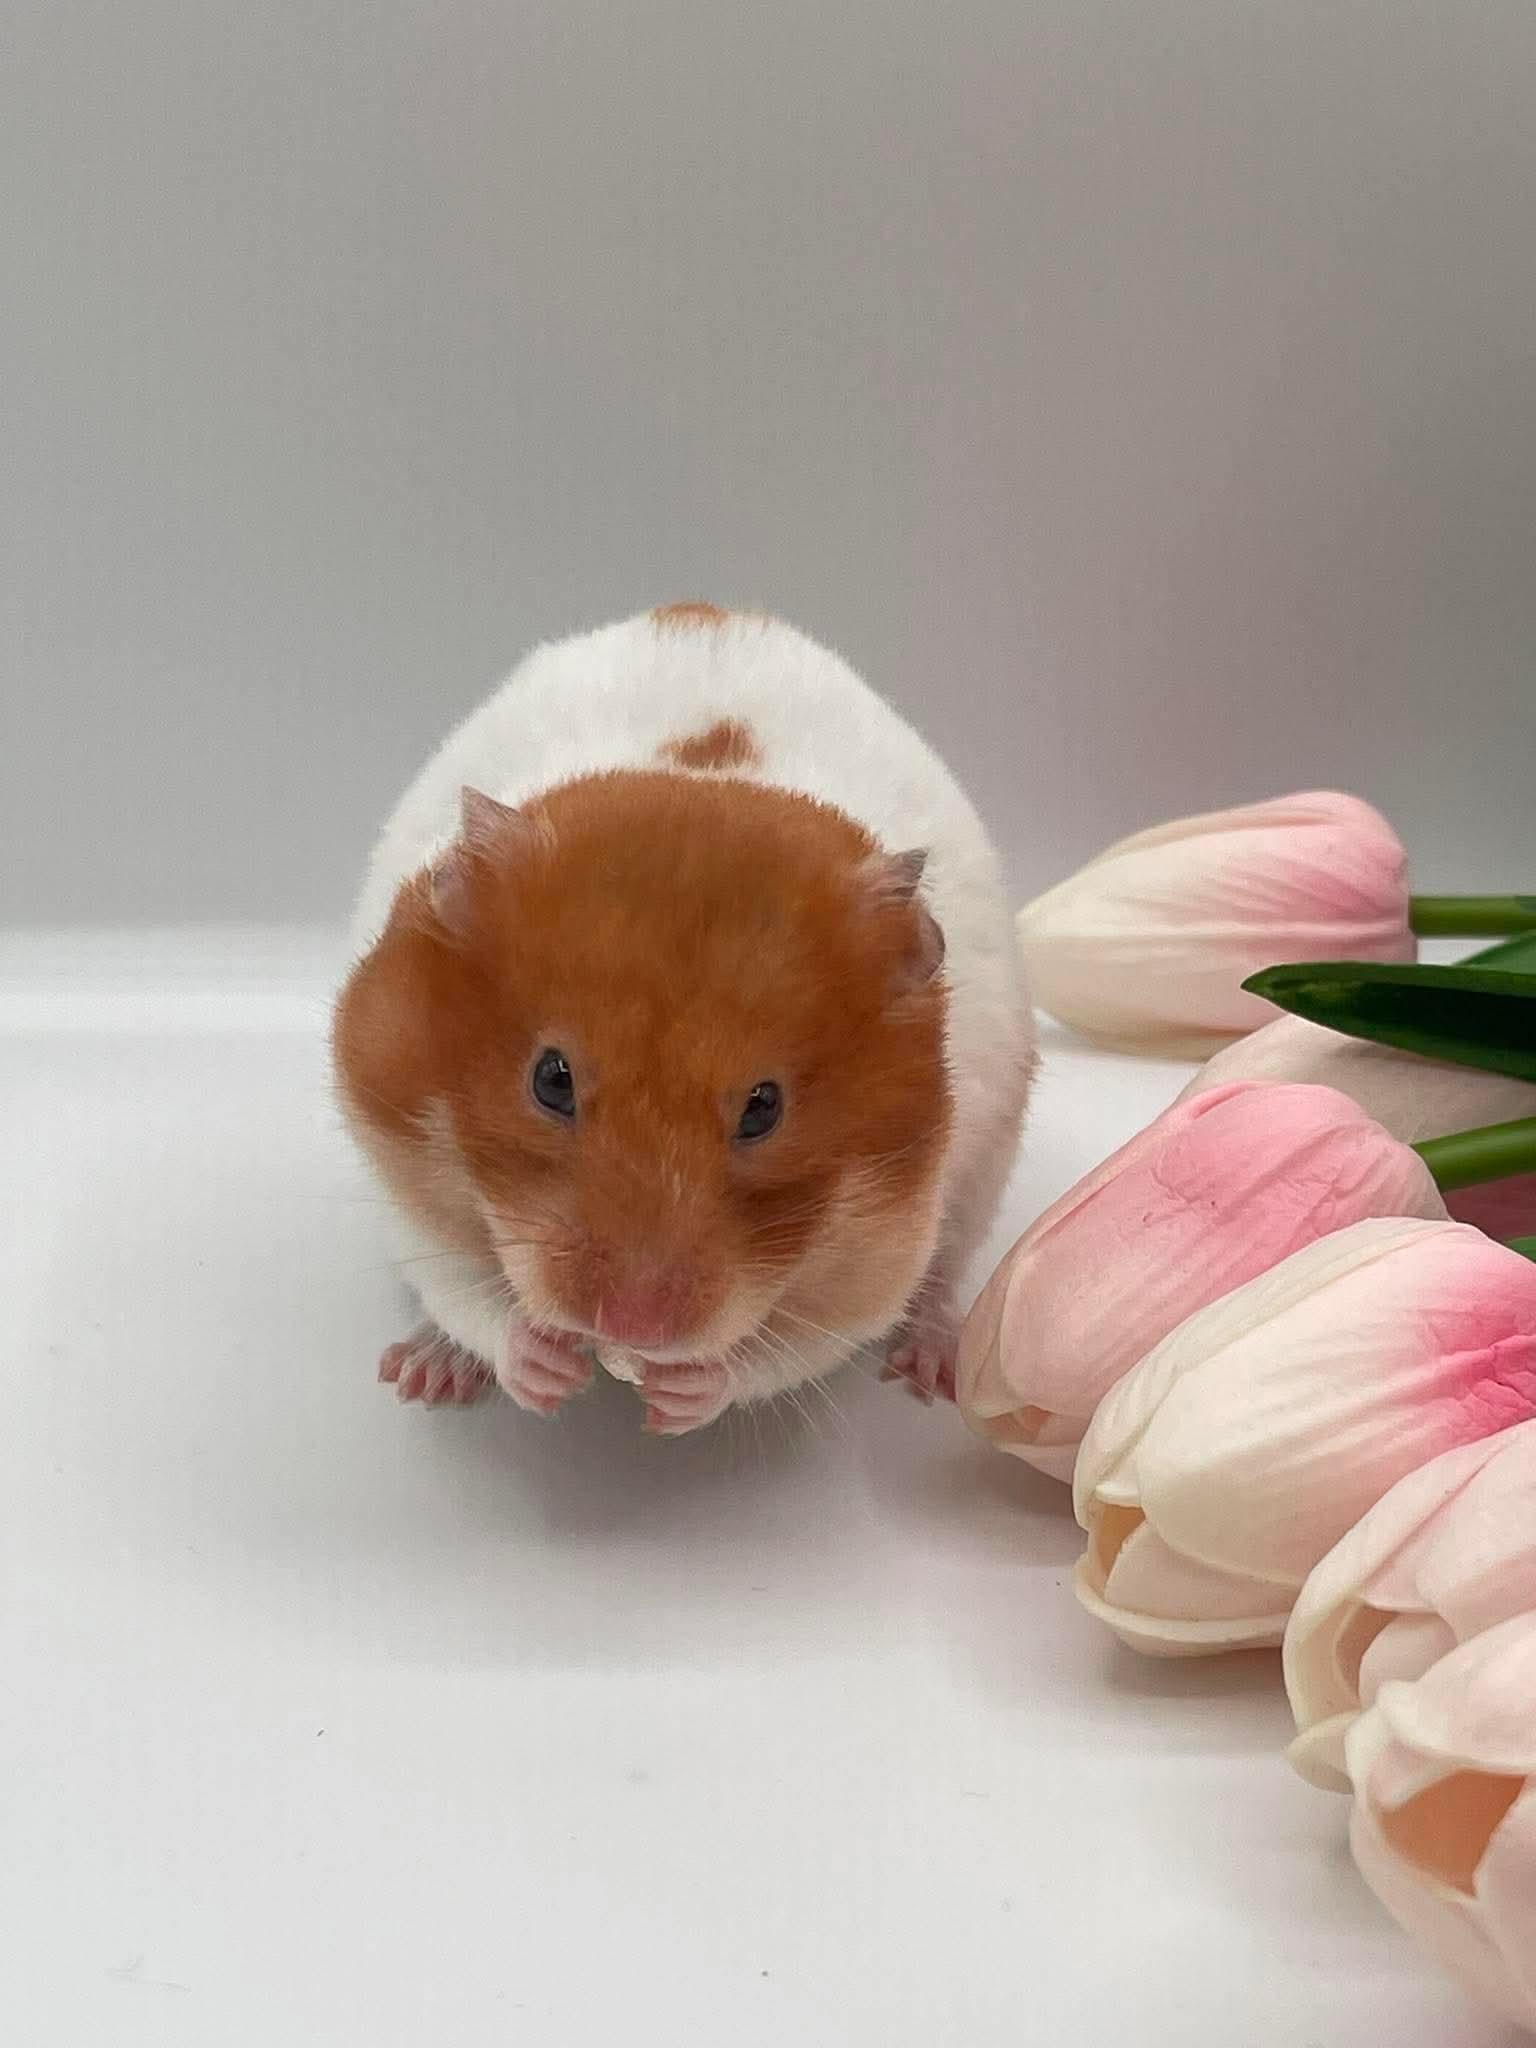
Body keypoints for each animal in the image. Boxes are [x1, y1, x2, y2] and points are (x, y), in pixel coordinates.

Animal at [332, 604, 1035, 1435]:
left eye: (765, 1108)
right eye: (550, 1079)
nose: (633, 1328)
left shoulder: (886, 1249)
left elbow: (788, 1351)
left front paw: (673, 1401)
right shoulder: (396, 1159)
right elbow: (468, 1296)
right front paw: (545, 1370)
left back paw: (933, 1370)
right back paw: (422, 1373)